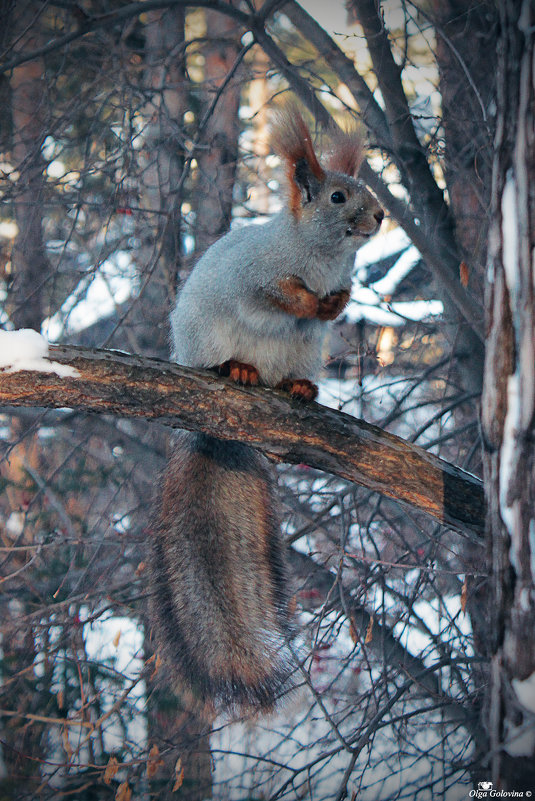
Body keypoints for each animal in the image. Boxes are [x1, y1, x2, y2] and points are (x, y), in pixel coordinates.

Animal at [151, 101, 386, 720]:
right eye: (338, 197)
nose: (381, 215)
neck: (322, 257)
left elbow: (334, 307)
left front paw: (335, 302)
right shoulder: (253, 275)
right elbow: (275, 294)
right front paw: (305, 297)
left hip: (302, 351)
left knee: (295, 369)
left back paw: (300, 388)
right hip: (206, 337)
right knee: (226, 356)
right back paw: (237, 371)